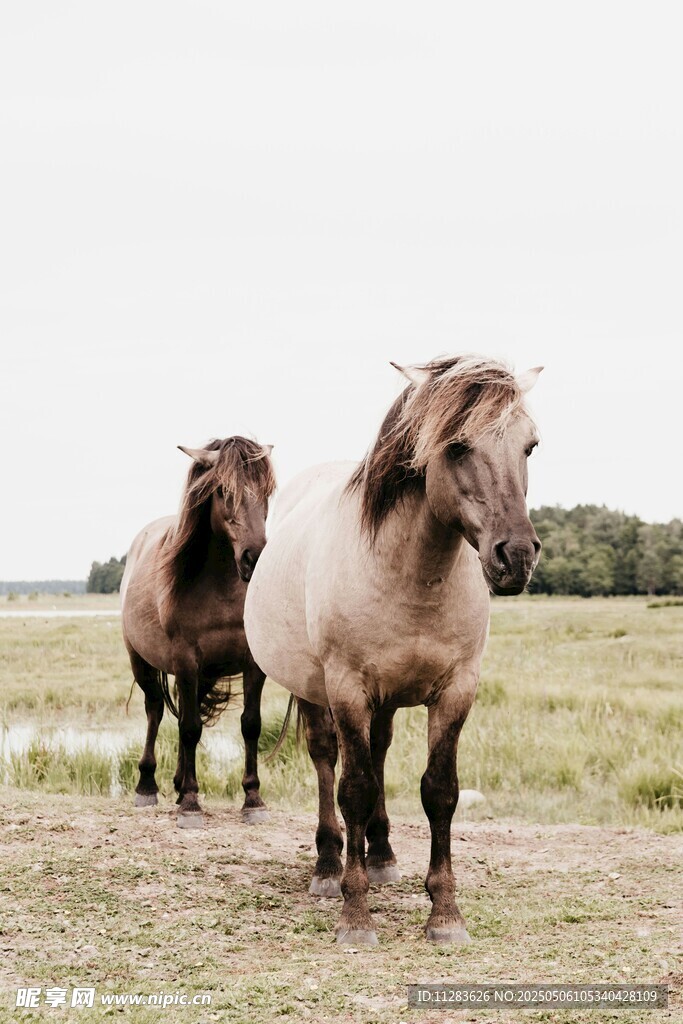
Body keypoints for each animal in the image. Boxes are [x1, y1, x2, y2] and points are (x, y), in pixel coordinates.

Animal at [121, 436, 276, 828]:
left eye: (267, 491)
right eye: (223, 490)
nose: (254, 558)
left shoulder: (252, 664)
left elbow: (250, 724)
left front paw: (253, 799)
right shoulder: (186, 660)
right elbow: (190, 728)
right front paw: (191, 803)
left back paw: (176, 785)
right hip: (141, 662)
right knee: (156, 711)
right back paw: (148, 786)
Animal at [244, 355, 542, 944]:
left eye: (530, 446)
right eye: (456, 446)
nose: (516, 555)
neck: (411, 574)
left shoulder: (455, 691)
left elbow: (439, 791)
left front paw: (445, 913)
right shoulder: (348, 689)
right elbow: (354, 789)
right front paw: (355, 915)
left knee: (377, 753)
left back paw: (379, 854)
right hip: (317, 690)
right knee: (327, 760)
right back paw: (330, 866)